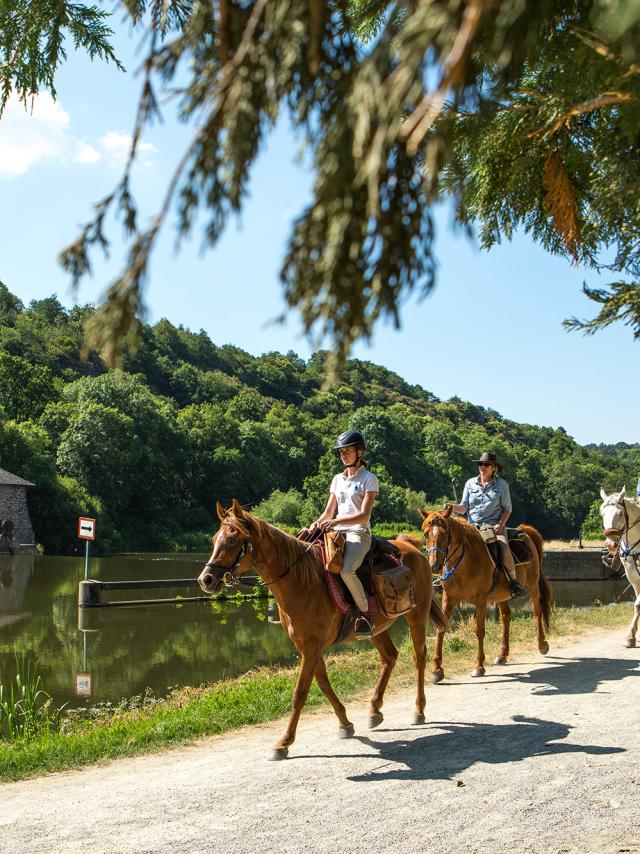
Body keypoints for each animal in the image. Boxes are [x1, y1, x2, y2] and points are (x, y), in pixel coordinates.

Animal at [199, 502, 444, 764]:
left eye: (232, 540)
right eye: (214, 539)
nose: (206, 580)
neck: (301, 580)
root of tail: (414, 548)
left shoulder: (312, 647)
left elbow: (299, 693)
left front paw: (284, 742)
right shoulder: (307, 646)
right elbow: (323, 684)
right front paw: (345, 724)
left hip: (416, 616)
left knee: (418, 658)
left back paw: (418, 710)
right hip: (377, 628)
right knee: (390, 657)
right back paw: (374, 710)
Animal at [420, 508, 552, 684]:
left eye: (445, 533)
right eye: (425, 533)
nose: (434, 565)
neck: (464, 561)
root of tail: (525, 531)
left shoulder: (480, 601)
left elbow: (479, 631)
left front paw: (479, 665)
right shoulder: (448, 599)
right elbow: (440, 629)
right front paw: (436, 670)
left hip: (532, 585)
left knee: (537, 611)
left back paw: (542, 644)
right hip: (500, 595)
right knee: (506, 616)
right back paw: (502, 655)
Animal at [600, 488, 640, 648]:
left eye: (620, 514)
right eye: (602, 514)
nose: (611, 545)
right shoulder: (633, 577)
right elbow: (637, 605)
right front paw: (630, 636)